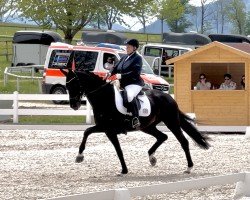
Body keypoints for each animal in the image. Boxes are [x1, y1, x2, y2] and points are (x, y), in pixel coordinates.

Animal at [61, 69, 210, 174]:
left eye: (75, 84)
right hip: (147, 127)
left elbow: (117, 149)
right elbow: (87, 132)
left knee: (183, 142)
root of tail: (170, 98)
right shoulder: (104, 128)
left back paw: (189, 167)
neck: (105, 98)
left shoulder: (108, 129)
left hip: (171, 122)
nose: (74, 105)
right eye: (67, 86)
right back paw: (152, 157)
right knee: (162, 136)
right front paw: (79, 156)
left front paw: (124, 170)